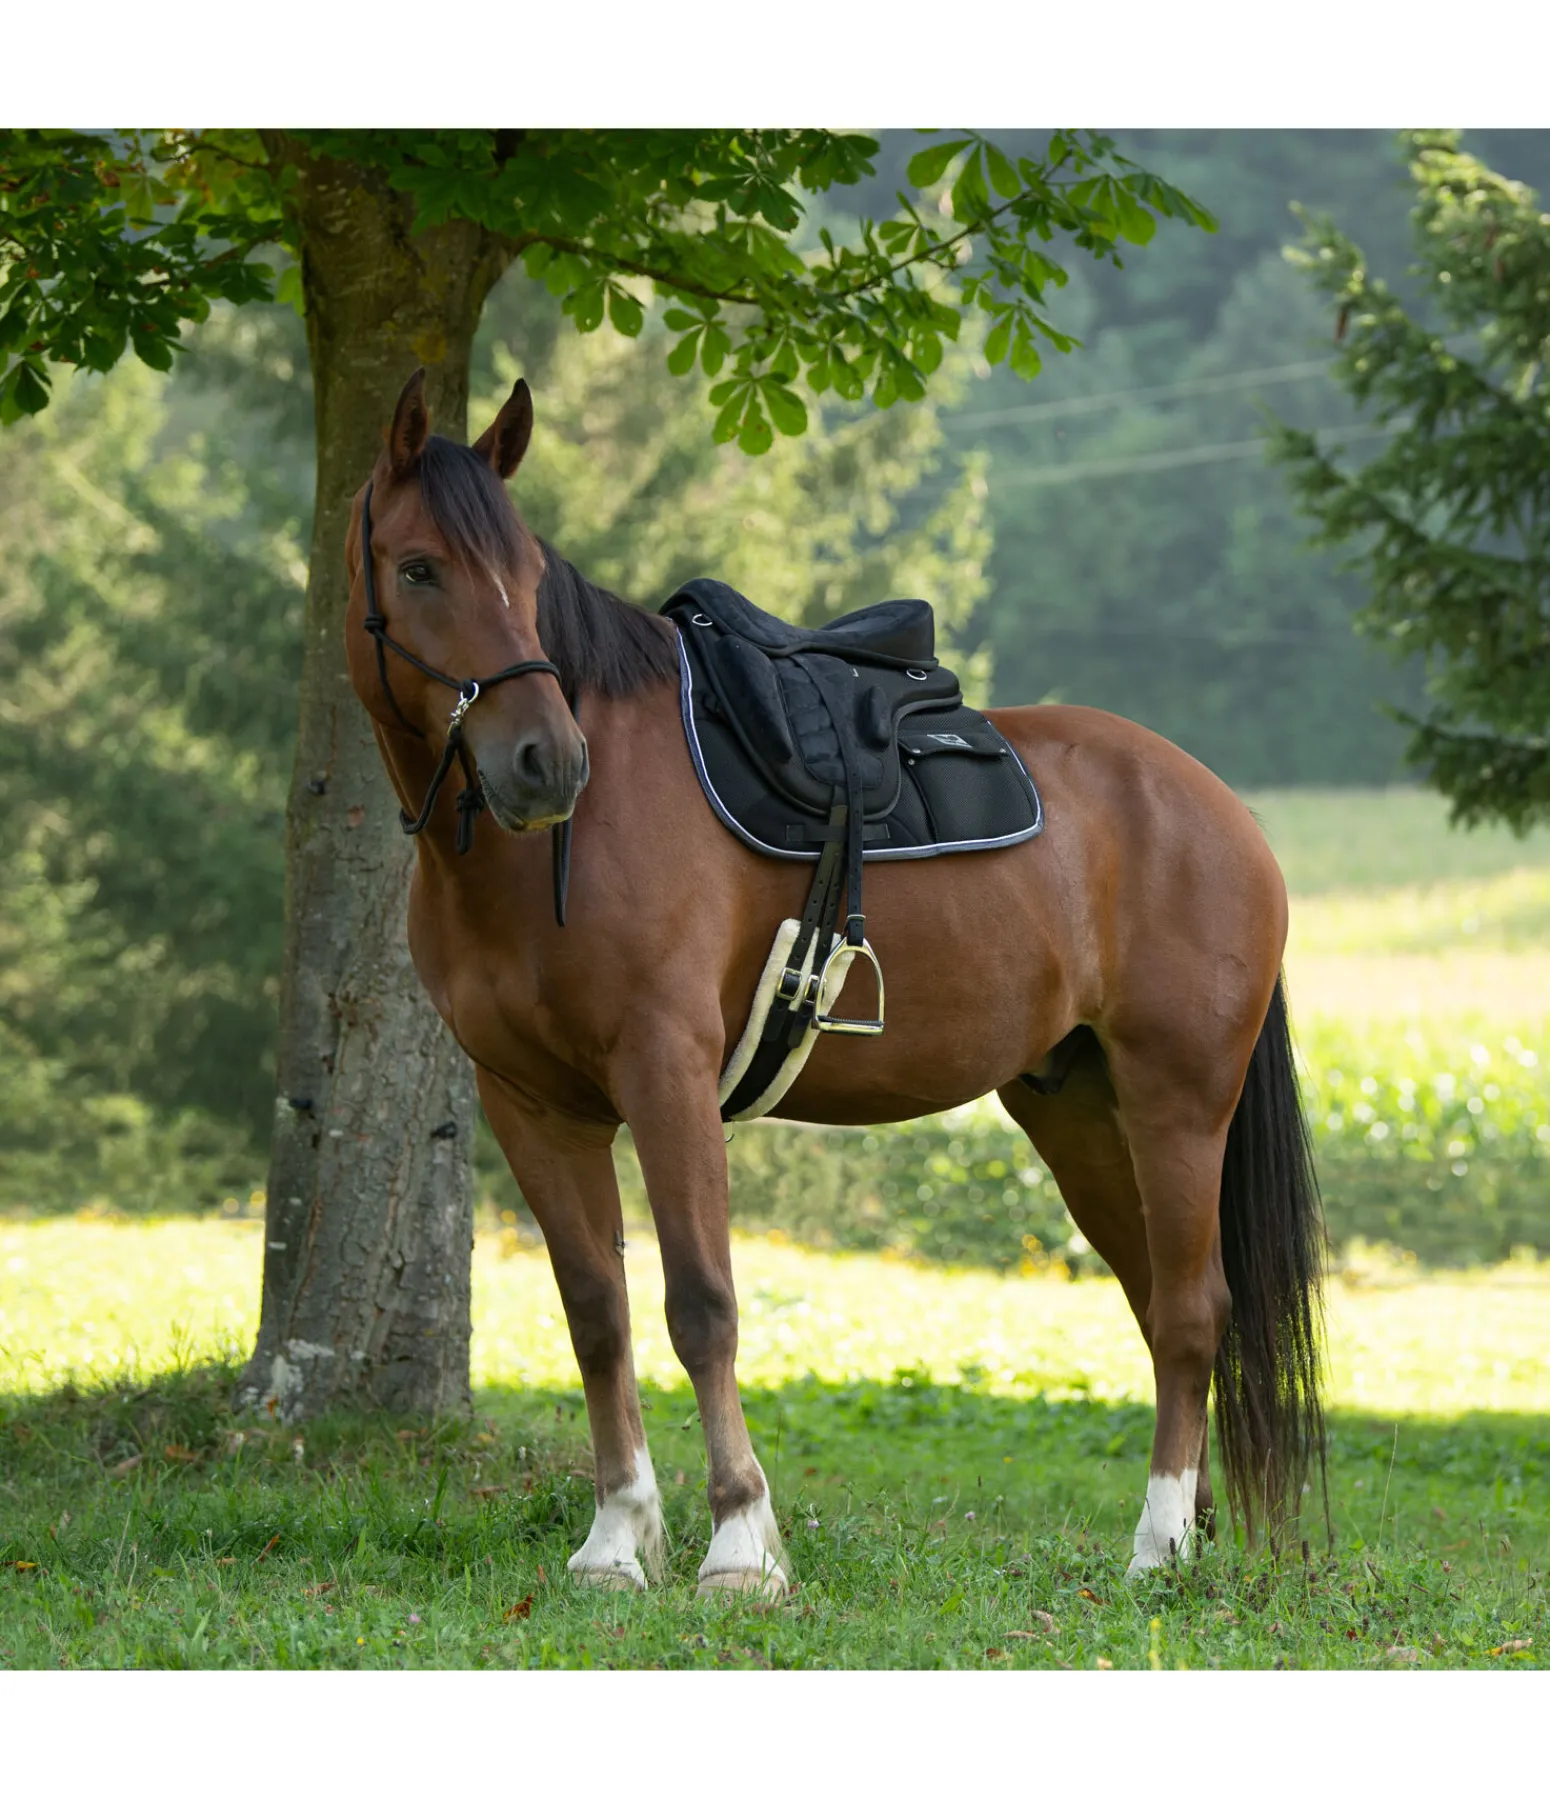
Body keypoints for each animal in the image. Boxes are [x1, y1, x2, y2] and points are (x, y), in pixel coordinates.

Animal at [342, 367, 1324, 1596]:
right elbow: (597, 1313)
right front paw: (617, 1540)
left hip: (1177, 1102)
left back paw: (1155, 1551)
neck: (550, 851)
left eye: (525, 578)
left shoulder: (665, 1075)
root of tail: (1225, 811)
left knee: (1193, 1312)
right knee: (1160, 1306)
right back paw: (1187, 1532)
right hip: (1084, 1115)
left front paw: (738, 1547)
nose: (547, 764)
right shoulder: (531, 1106)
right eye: (420, 568)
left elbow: (701, 1304)